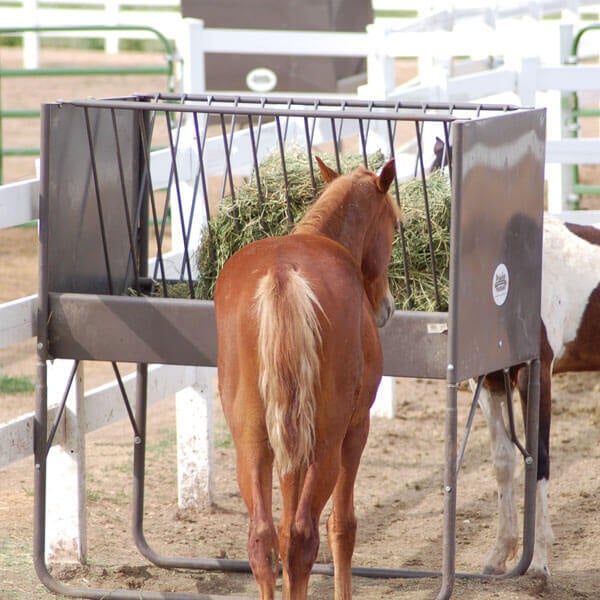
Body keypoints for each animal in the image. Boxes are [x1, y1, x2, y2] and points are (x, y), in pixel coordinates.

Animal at [214, 157, 398, 596]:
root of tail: (282, 275)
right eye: (396, 227)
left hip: (253, 442)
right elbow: (342, 526)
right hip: (326, 444)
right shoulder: (356, 430)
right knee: (303, 536)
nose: (386, 307)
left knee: (264, 538)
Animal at [478, 216, 600, 576]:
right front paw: (498, 555)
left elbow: (539, 457)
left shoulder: (535, 374)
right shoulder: (490, 383)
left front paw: (539, 562)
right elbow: (503, 462)